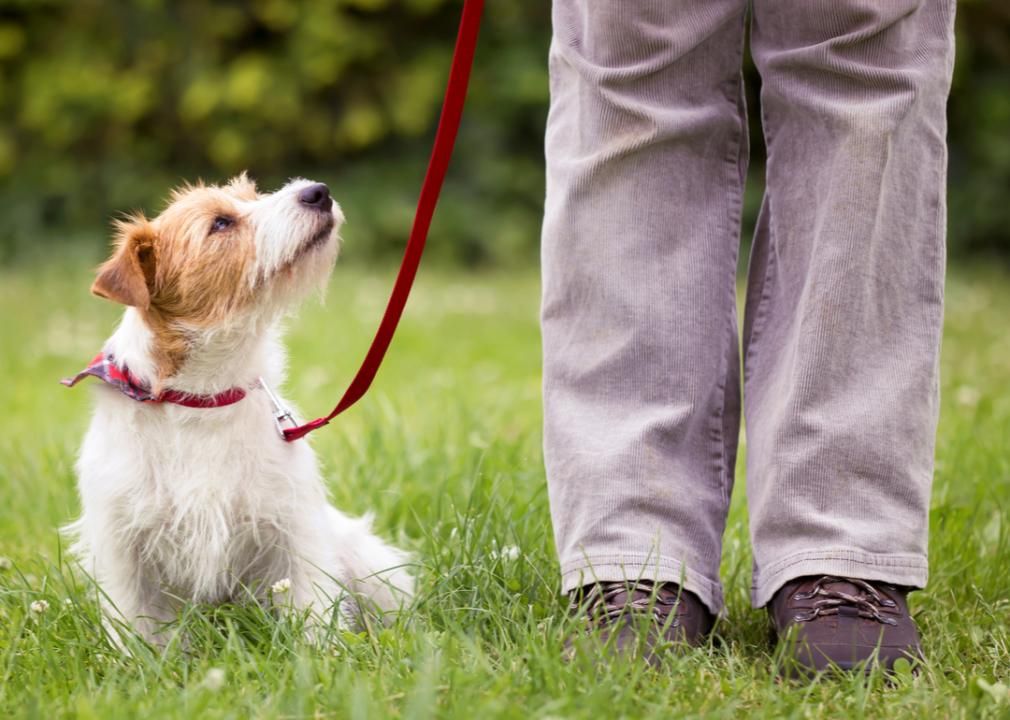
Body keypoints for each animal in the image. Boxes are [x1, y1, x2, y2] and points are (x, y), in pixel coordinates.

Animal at [62, 175, 414, 646]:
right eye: (221, 223)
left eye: (253, 196)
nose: (318, 191)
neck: (201, 401)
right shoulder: (124, 547)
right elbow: (137, 625)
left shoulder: (293, 528)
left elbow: (314, 604)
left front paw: (324, 655)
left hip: (369, 564)